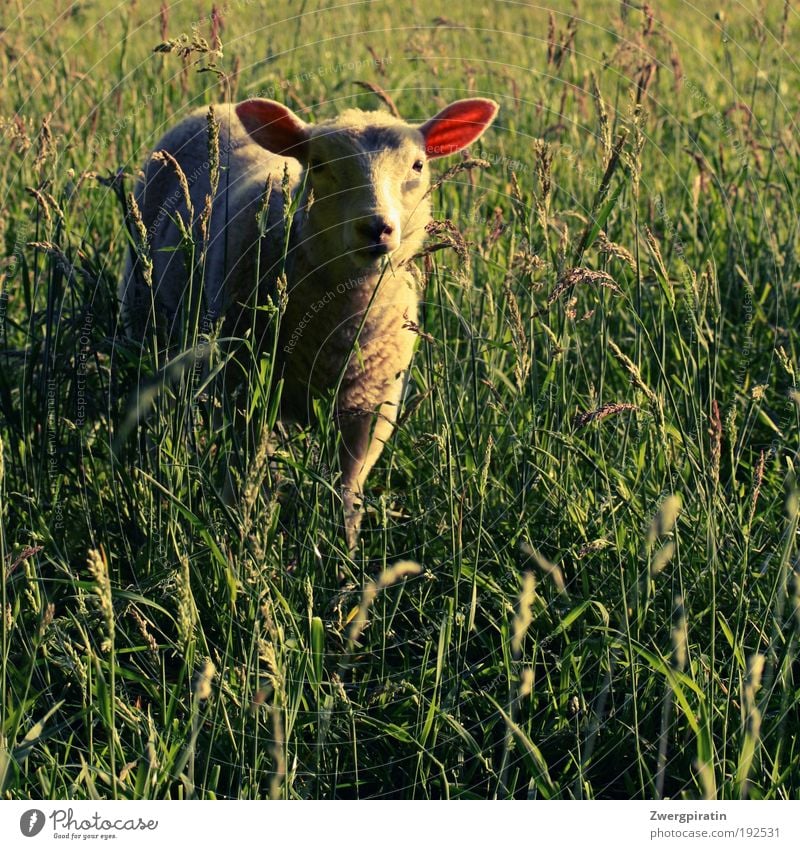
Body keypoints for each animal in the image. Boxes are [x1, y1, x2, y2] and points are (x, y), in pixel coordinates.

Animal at [118, 96, 496, 548]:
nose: (377, 228)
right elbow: (244, 474)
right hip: (145, 310)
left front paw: (345, 551)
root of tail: (218, 105)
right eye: (318, 164)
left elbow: (348, 488)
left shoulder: (370, 407)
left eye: (418, 165)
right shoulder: (246, 387)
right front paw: (239, 536)